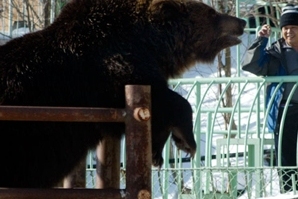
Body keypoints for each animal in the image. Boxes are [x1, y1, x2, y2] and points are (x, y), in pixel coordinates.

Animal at [0, 0, 246, 188]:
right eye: (212, 13)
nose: (241, 22)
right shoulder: (106, 69)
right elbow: (162, 97)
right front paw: (187, 142)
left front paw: (157, 153)